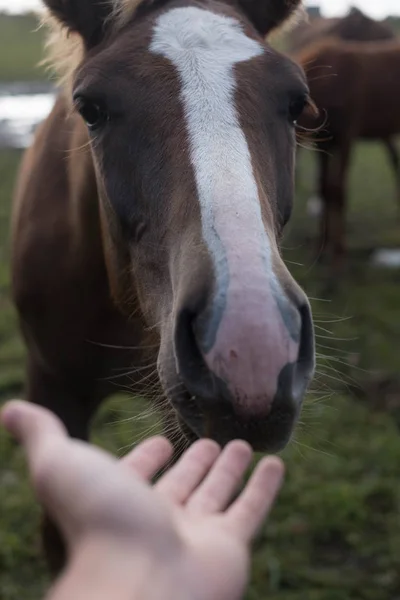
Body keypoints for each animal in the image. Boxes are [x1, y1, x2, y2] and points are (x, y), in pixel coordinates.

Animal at [296, 38, 400, 268]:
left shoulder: (346, 138)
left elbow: (338, 191)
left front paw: (338, 257)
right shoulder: (324, 144)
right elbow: (324, 189)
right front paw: (321, 249)